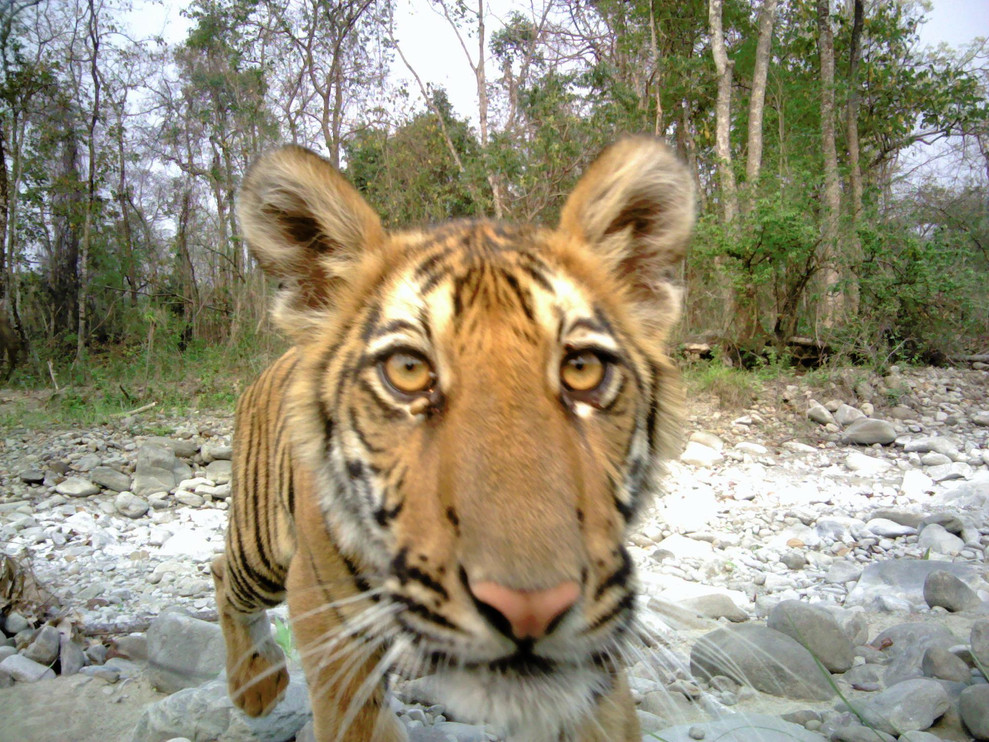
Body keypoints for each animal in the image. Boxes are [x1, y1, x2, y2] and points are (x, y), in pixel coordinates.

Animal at [211, 136, 695, 742]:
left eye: (581, 369)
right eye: (408, 371)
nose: (530, 609)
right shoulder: (331, 625)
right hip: (261, 551)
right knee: (221, 573)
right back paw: (255, 683)